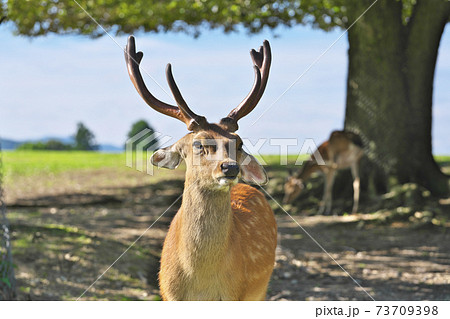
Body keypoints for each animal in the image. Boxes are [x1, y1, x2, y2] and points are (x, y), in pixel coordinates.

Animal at [124, 36, 278, 302]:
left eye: (239, 143)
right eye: (198, 143)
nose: (230, 168)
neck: (201, 284)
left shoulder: (235, 295)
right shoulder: (168, 293)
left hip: (260, 289)